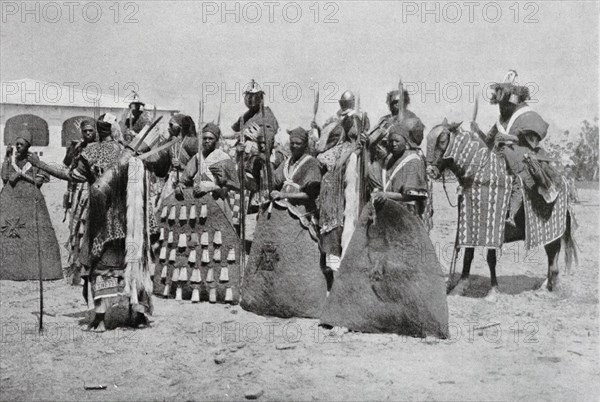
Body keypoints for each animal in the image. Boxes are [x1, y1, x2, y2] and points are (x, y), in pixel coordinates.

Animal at [424, 118, 576, 296]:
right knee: (551, 253)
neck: (481, 177)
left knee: (553, 253)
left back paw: (555, 286)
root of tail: (563, 181)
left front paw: (493, 290)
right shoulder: (469, 226)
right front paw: (460, 286)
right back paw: (546, 285)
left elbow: (491, 259)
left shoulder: (493, 229)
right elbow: (468, 254)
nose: (430, 171)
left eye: (442, 141)